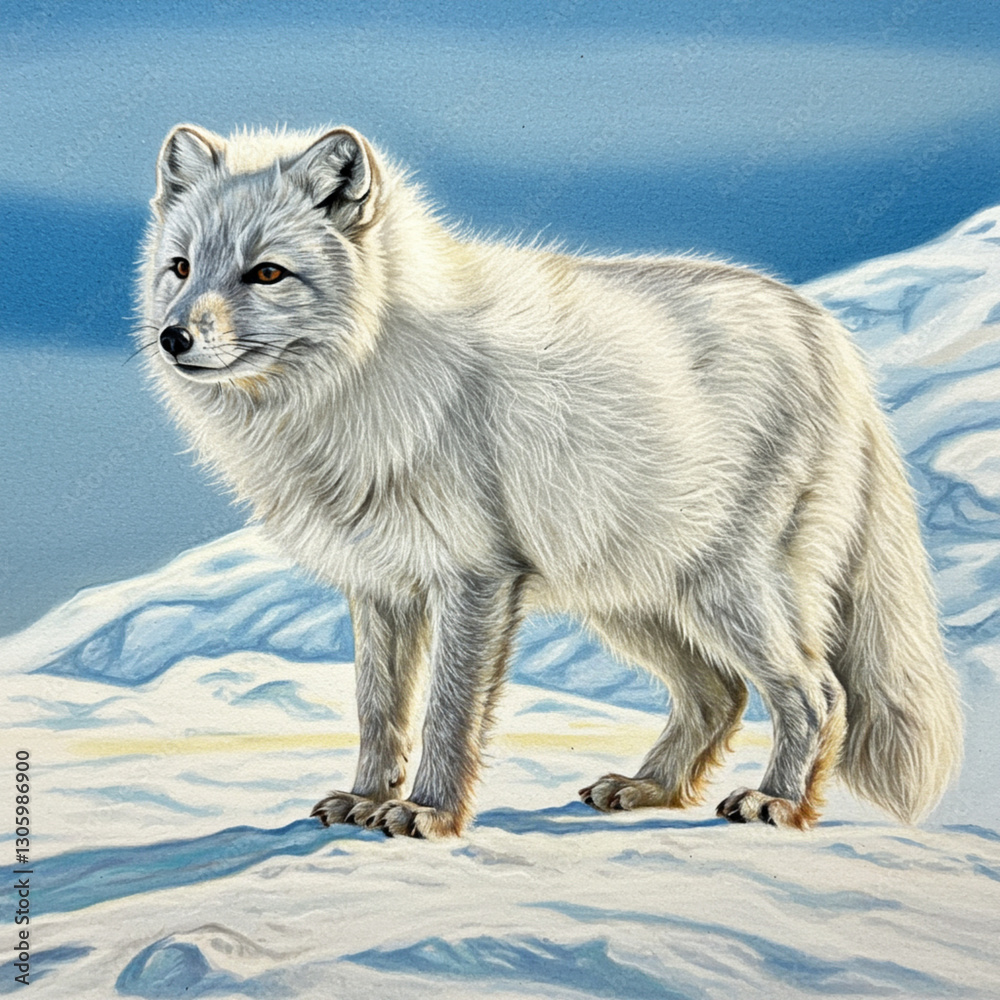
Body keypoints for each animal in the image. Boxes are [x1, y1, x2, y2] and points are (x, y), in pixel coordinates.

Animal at [138, 122, 962, 838]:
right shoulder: (381, 584)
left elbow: (447, 713)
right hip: (633, 596)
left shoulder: (476, 576)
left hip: (731, 588)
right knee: (719, 693)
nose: (173, 337)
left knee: (818, 693)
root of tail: (826, 330)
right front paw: (367, 799)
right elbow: (379, 710)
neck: (367, 374)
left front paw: (428, 813)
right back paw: (651, 789)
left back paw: (778, 802)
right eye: (181, 268)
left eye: (266, 272)